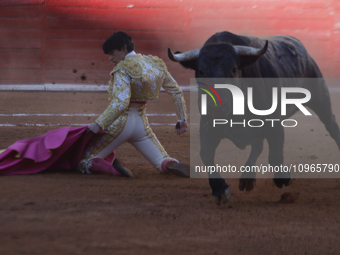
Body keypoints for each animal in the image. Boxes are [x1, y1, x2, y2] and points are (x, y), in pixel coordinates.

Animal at [169, 30, 340, 205]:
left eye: (234, 69)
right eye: (201, 71)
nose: (217, 105)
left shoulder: (273, 123)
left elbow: (275, 155)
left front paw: (282, 178)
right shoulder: (208, 125)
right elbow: (206, 154)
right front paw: (220, 189)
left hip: (320, 96)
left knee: (331, 124)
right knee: (257, 146)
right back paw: (247, 178)